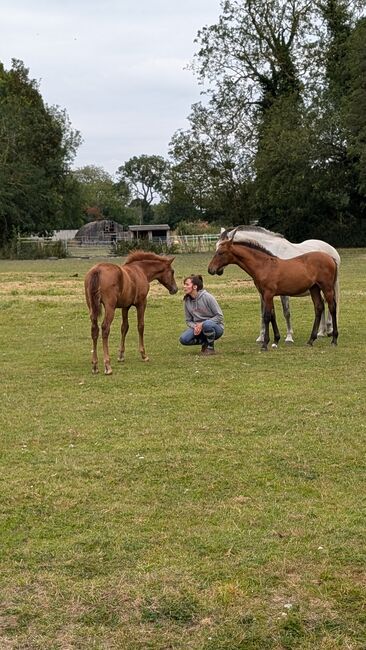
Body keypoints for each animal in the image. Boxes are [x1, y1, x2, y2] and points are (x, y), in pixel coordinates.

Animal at [207, 238, 338, 350]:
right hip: (314, 288)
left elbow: (266, 316)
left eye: (221, 252)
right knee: (319, 307)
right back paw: (311, 340)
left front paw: (265, 344)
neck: (264, 266)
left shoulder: (268, 294)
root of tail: (331, 258)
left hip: (327, 288)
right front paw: (275, 340)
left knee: (332, 307)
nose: (210, 269)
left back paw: (334, 340)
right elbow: (272, 315)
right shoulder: (266, 295)